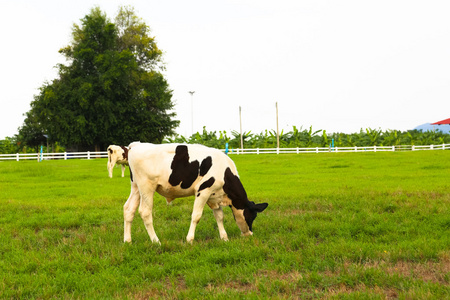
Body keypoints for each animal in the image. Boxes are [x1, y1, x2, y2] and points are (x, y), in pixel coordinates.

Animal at [123, 143, 268, 244]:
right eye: (252, 216)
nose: (249, 234)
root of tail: (136, 145)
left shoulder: (213, 196)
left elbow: (219, 216)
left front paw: (224, 238)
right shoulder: (203, 191)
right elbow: (196, 216)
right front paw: (190, 239)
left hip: (136, 187)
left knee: (128, 209)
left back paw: (128, 241)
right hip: (146, 187)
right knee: (145, 212)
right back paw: (156, 241)